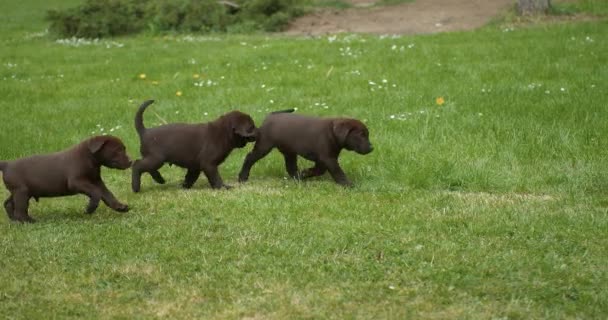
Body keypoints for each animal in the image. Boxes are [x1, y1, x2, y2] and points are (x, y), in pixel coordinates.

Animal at [0, 135, 132, 222]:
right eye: (118, 150)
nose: (131, 161)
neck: (88, 157)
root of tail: (7, 164)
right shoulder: (76, 182)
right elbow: (96, 193)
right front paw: (90, 208)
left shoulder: (97, 182)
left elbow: (107, 194)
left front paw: (119, 207)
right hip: (21, 191)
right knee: (19, 210)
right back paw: (29, 221)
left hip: (20, 191)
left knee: (8, 204)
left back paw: (14, 220)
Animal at [239, 113, 372, 186]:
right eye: (361, 135)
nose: (372, 148)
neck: (332, 133)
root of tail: (269, 117)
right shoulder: (328, 158)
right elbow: (338, 172)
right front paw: (347, 184)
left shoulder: (323, 159)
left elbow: (319, 170)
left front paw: (305, 173)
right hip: (264, 146)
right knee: (249, 157)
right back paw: (242, 176)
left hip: (289, 151)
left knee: (291, 167)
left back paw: (298, 178)